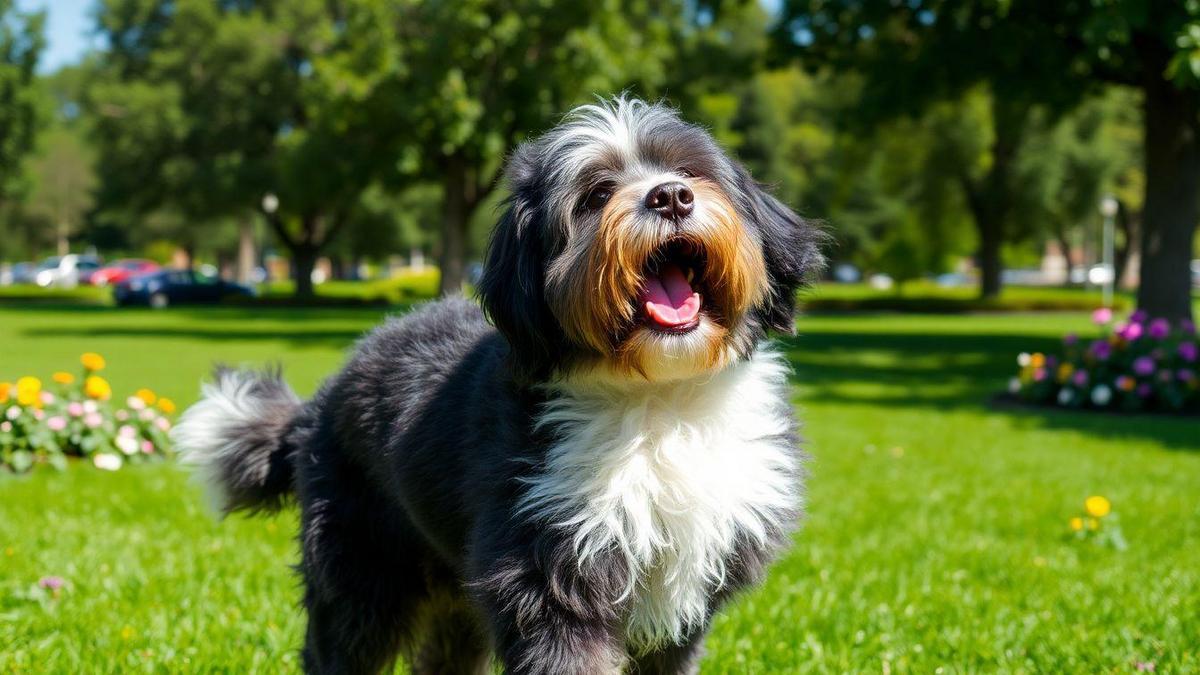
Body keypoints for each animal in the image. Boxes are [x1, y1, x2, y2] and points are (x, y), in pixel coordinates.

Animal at [171, 96, 825, 672]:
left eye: (691, 172)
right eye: (596, 194)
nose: (670, 196)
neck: (658, 398)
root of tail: (317, 404)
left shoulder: (682, 607)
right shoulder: (547, 572)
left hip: (452, 589)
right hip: (360, 569)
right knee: (338, 647)